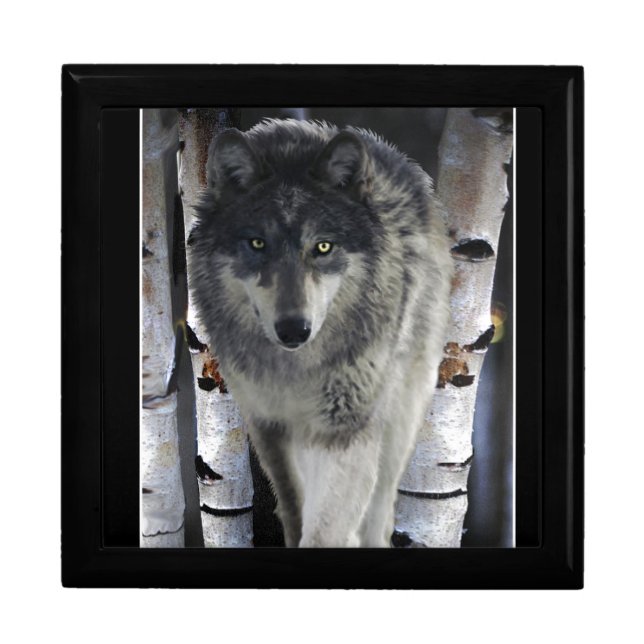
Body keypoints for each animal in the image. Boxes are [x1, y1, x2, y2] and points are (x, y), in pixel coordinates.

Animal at [188, 119, 453, 547]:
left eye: (323, 247)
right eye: (257, 243)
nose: (294, 329)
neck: (296, 372)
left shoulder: (346, 429)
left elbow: (328, 526)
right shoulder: (269, 426)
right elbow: (295, 509)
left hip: (399, 417)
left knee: (380, 507)